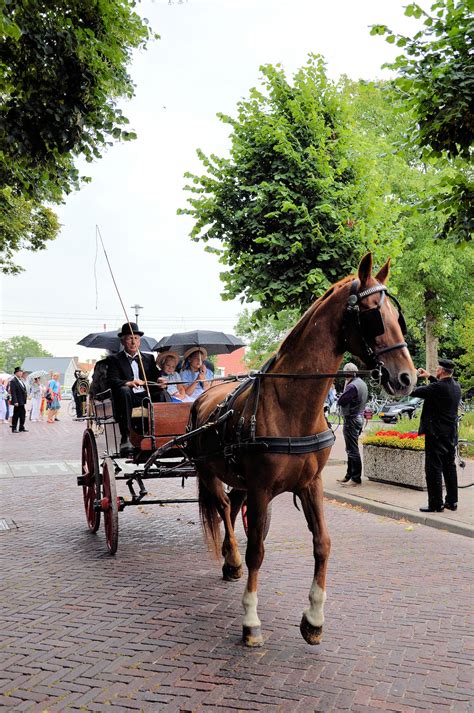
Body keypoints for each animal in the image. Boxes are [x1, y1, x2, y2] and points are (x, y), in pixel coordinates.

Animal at [187, 254, 416, 644]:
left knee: (230, 506)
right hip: (208, 471)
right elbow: (257, 550)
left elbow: (322, 543)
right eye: (373, 314)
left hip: (237, 478)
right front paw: (250, 620)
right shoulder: (262, 489)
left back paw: (229, 562)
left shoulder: (311, 484)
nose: (408, 378)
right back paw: (231, 558)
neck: (290, 406)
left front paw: (314, 618)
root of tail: (205, 393)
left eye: (397, 317)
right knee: (222, 508)